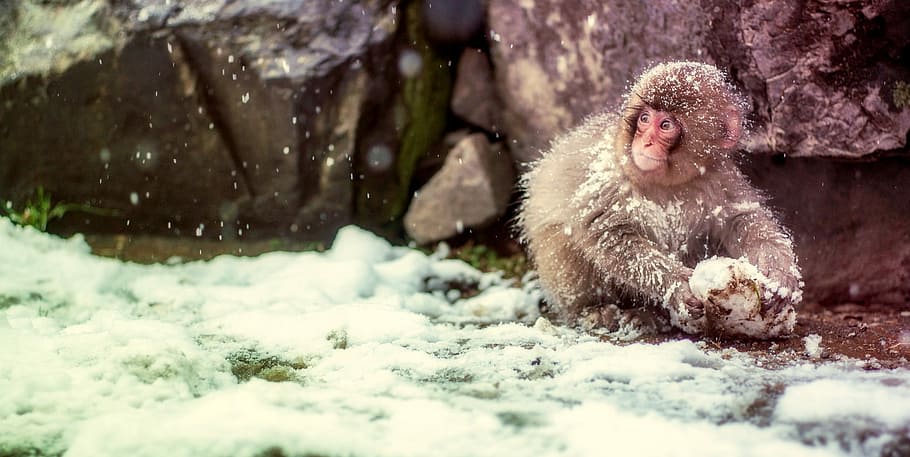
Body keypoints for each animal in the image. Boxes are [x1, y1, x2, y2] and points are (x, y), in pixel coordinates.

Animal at [517, 61, 802, 335]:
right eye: (644, 119)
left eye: (666, 125)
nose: (645, 142)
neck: (667, 184)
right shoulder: (609, 179)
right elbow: (610, 235)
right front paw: (676, 285)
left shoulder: (721, 178)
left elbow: (744, 219)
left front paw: (779, 273)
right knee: (562, 239)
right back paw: (596, 310)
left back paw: (652, 315)